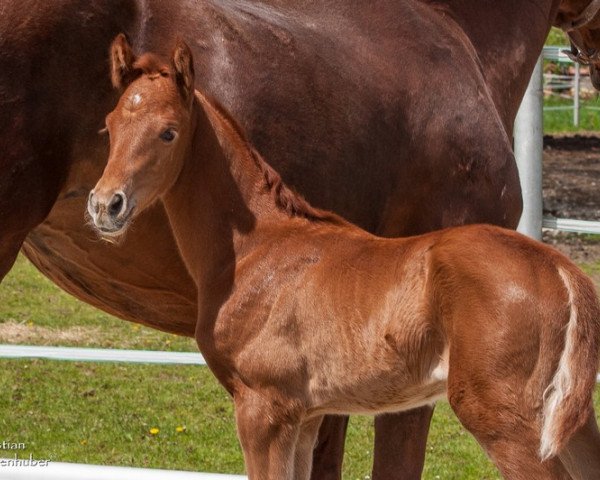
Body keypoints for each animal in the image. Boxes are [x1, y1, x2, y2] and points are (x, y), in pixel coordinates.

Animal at [3, 0, 600, 476]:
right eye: (109, 125)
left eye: (168, 132)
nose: (106, 206)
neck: (258, 250)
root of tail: (562, 270)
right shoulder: (304, 416)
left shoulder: (265, 410)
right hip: (564, 419)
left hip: (508, 420)